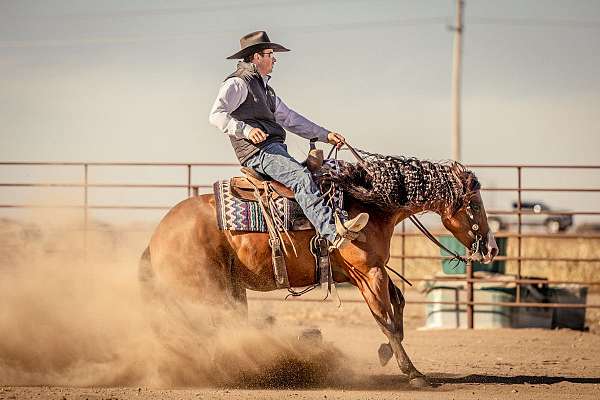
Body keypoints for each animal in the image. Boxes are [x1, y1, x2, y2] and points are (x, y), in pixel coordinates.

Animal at [139, 156, 496, 388]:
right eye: (475, 205)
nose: (492, 249)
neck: (365, 206)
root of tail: (157, 235)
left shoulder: (371, 271)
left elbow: (398, 305)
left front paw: (386, 355)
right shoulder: (368, 272)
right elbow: (387, 322)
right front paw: (414, 373)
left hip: (229, 287)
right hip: (205, 291)